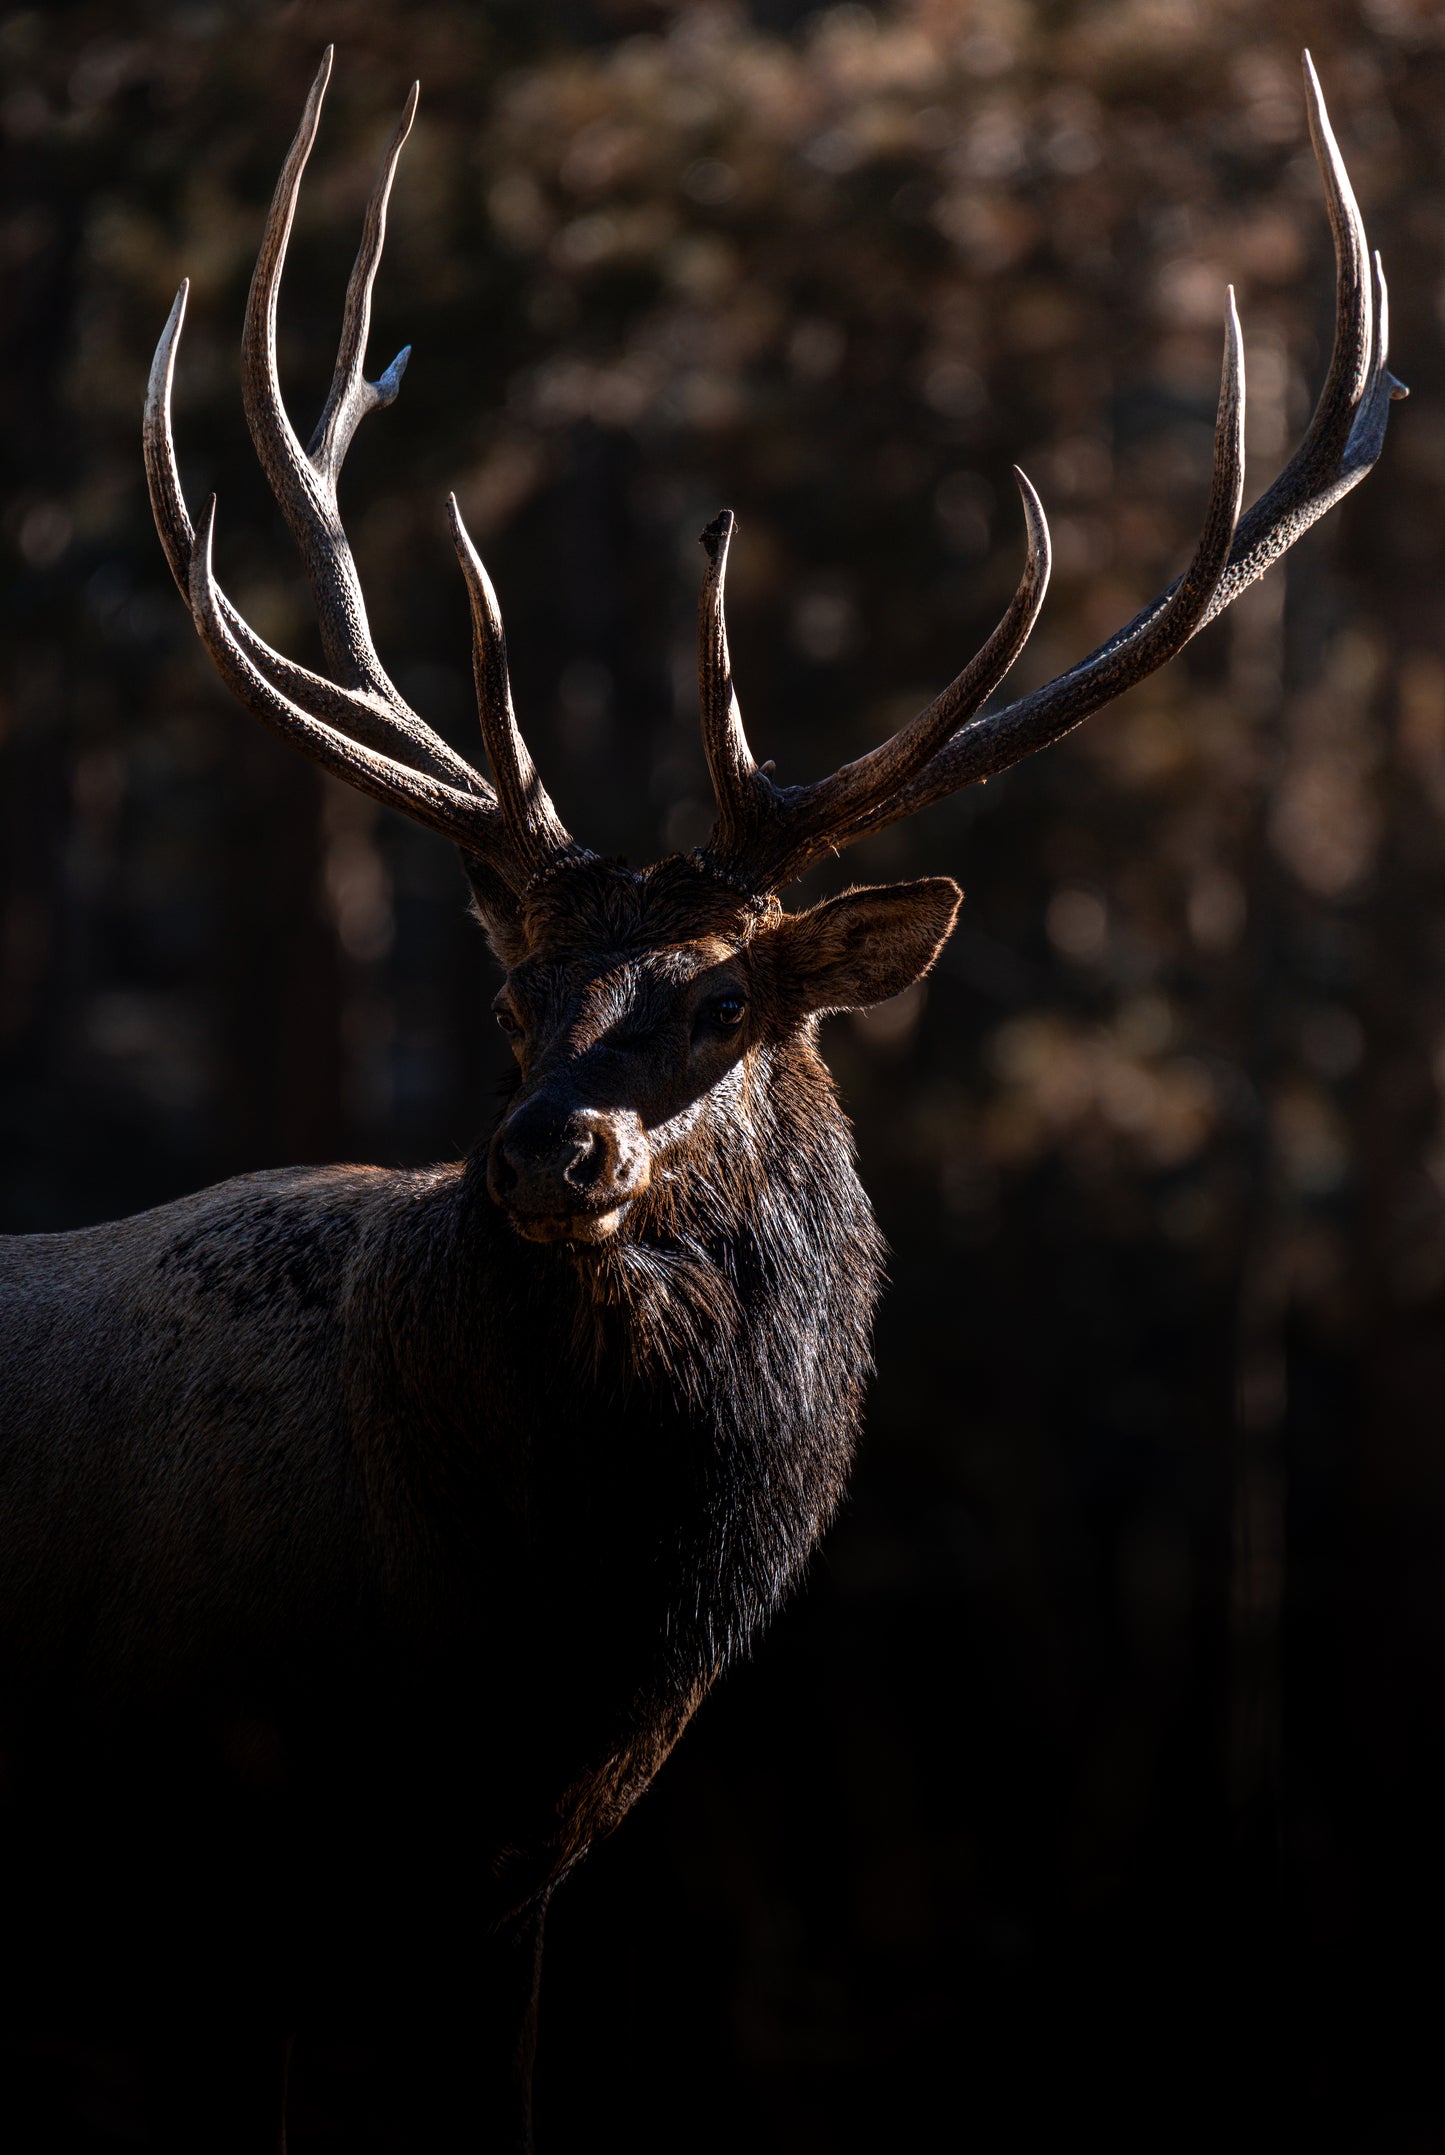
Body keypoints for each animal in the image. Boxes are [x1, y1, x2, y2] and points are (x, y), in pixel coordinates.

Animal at [0, 42, 1404, 2146]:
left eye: (728, 994)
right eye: (517, 991)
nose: (544, 1147)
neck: (517, 1654)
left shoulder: (493, 1898)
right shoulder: (221, 1860)